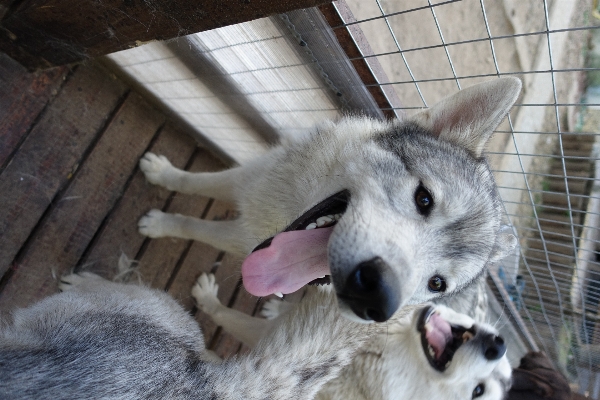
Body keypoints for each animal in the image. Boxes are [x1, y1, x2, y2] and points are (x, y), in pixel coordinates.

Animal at [139, 78, 520, 322]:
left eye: (436, 282)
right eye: (424, 198)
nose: (376, 299)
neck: (289, 205)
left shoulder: (239, 239)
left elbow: (194, 227)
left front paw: (158, 224)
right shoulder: (249, 178)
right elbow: (198, 181)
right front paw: (162, 174)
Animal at [195, 274, 512, 400]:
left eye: (478, 392)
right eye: (503, 370)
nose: (497, 346)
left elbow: (226, 316)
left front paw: (207, 299)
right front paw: (277, 307)